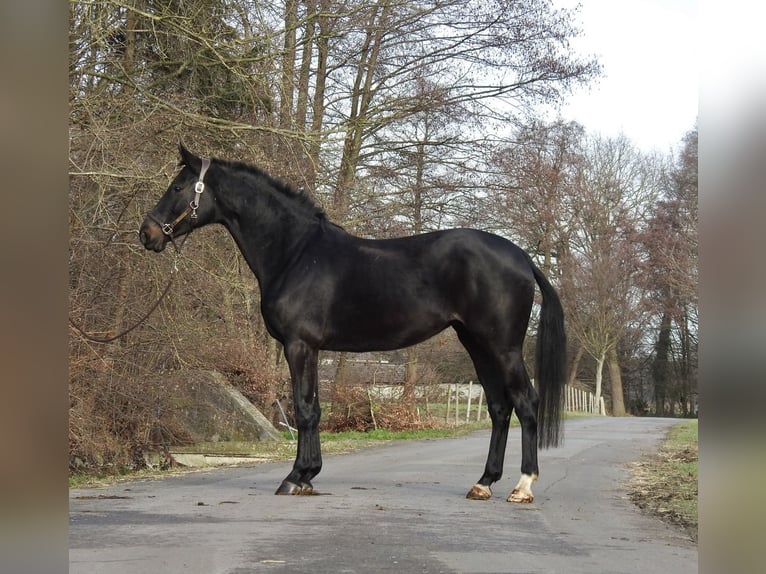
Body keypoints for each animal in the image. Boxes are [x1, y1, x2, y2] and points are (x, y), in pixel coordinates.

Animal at [140, 144, 566, 503]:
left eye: (178, 186)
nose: (147, 234)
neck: (296, 253)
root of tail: (521, 256)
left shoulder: (299, 344)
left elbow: (304, 409)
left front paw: (296, 477)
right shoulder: (310, 348)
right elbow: (312, 407)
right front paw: (308, 475)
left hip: (503, 347)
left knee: (525, 402)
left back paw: (522, 486)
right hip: (476, 344)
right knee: (499, 407)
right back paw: (483, 483)